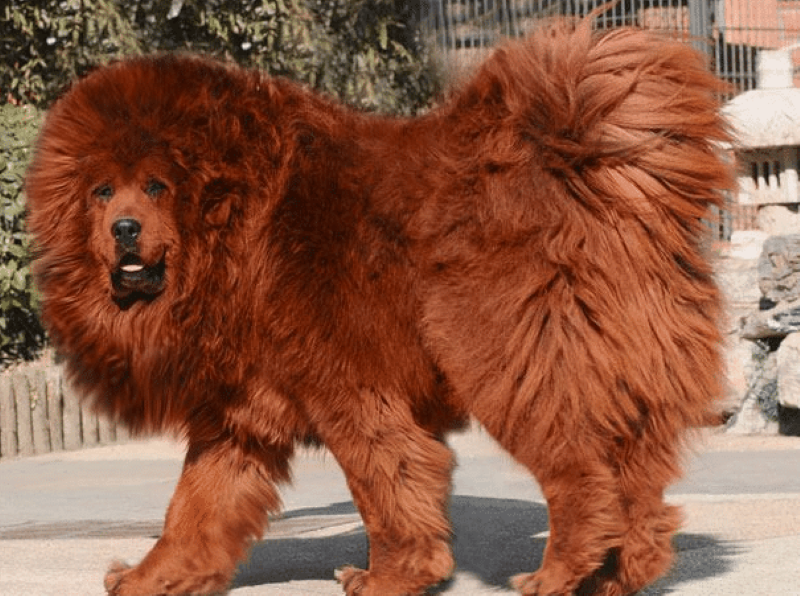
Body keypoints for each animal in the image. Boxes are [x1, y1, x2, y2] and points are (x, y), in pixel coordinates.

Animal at [28, 16, 736, 596]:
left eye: (155, 186)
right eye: (100, 191)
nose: (123, 228)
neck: (233, 230)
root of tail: (581, 163)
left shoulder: (348, 390)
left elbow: (386, 484)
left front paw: (390, 577)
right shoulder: (237, 419)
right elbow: (193, 509)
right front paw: (151, 578)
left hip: (512, 360)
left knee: (582, 477)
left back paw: (559, 574)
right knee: (638, 487)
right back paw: (618, 573)